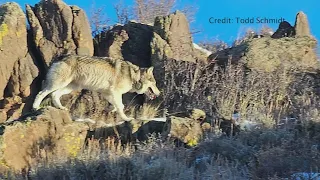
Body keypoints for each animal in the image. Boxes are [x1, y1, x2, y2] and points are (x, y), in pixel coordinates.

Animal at [32, 54, 160, 120]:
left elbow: (117, 105)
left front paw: (111, 109)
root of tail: (60, 57)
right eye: (154, 83)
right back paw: (35, 107)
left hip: (70, 87)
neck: (133, 76)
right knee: (41, 93)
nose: (159, 93)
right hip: (60, 84)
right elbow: (121, 106)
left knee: (54, 94)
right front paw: (126, 119)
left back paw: (61, 108)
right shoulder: (115, 92)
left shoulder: (108, 93)